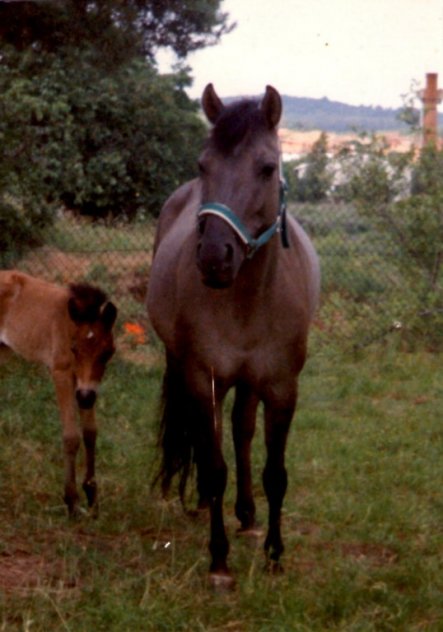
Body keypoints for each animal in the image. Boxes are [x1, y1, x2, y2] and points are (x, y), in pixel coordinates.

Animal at [0, 270, 117, 516]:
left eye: (107, 352)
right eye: (74, 348)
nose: (85, 398)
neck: (68, 324)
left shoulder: (84, 385)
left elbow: (90, 432)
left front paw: (92, 495)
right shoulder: (61, 373)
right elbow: (71, 436)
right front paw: (71, 501)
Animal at [147, 84, 320, 588]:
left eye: (266, 168)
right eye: (203, 164)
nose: (213, 257)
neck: (246, 299)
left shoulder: (282, 388)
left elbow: (275, 473)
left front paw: (275, 555)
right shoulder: (203, 379)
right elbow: (214, 467)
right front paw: (219, 562)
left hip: (250, 382)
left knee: (242, 431)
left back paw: (246, 514)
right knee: (217, 443)